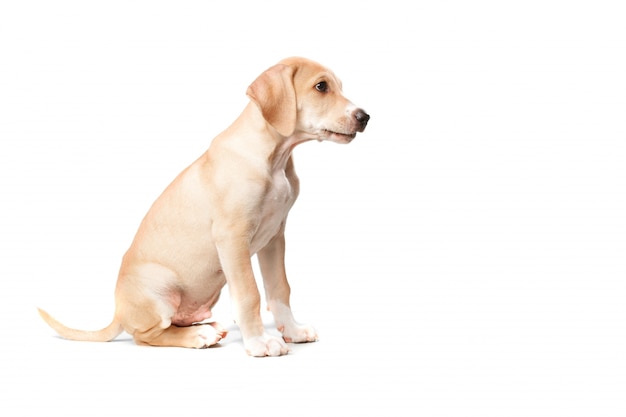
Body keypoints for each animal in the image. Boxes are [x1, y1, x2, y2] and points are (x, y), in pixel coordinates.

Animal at [39, 55, 368, 356]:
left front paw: (293, 330)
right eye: (321, 86)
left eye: (338, 86)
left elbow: (279, 288)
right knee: (146, 336)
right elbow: (249, 293)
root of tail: (118, 313)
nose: (364, 116)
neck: (275, 158)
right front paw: (259, 342)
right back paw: (198, 336)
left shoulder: (275, 237)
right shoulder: (232, 237)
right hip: (159, 288)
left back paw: (208, 326)